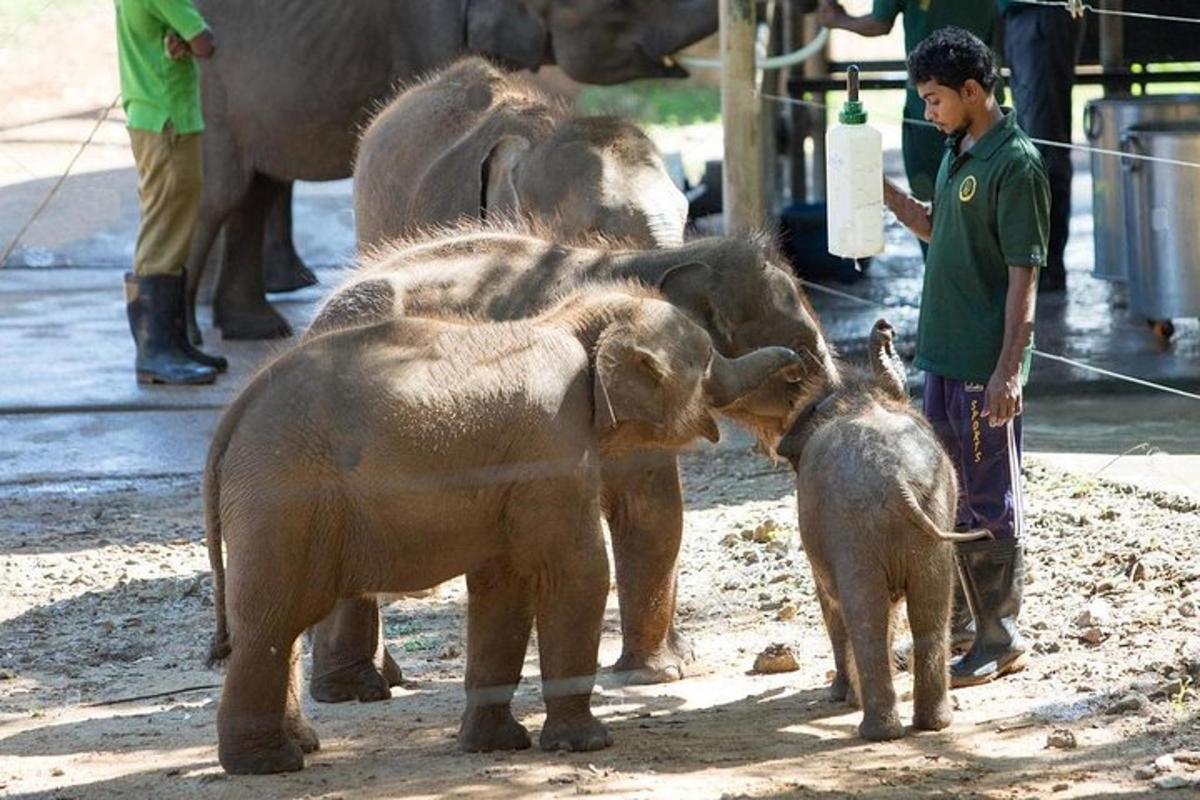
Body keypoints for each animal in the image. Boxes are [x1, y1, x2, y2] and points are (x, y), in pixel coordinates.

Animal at [207, 283, 801, 777]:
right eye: (709, 361)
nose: (798, 367)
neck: (573, 321)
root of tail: (234, 415)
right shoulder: (553, 442)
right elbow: (578, 571)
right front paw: (585, 744)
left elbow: (504, 586)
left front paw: (495, 745)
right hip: (285, 497)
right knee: (271, 619)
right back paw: (269, 765)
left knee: (271, 625)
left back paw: (298, 747)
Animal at [302, 224, 835, 700]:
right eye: (800, 358)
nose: (815, 390)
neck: (653, 259)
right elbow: (652, 512)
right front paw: (659, 675)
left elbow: (653, 515)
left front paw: (682, 661)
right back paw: (355, 690)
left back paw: (385, 679)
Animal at [772, 321, 988, 743]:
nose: (884, 327)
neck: (860, 396)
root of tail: (895, 478)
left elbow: (831, 603)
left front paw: (839, 696)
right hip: (930, 519)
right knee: (928, 614)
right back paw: (931, 724)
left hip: (853, 531)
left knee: (865, 616)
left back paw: (875, 729)